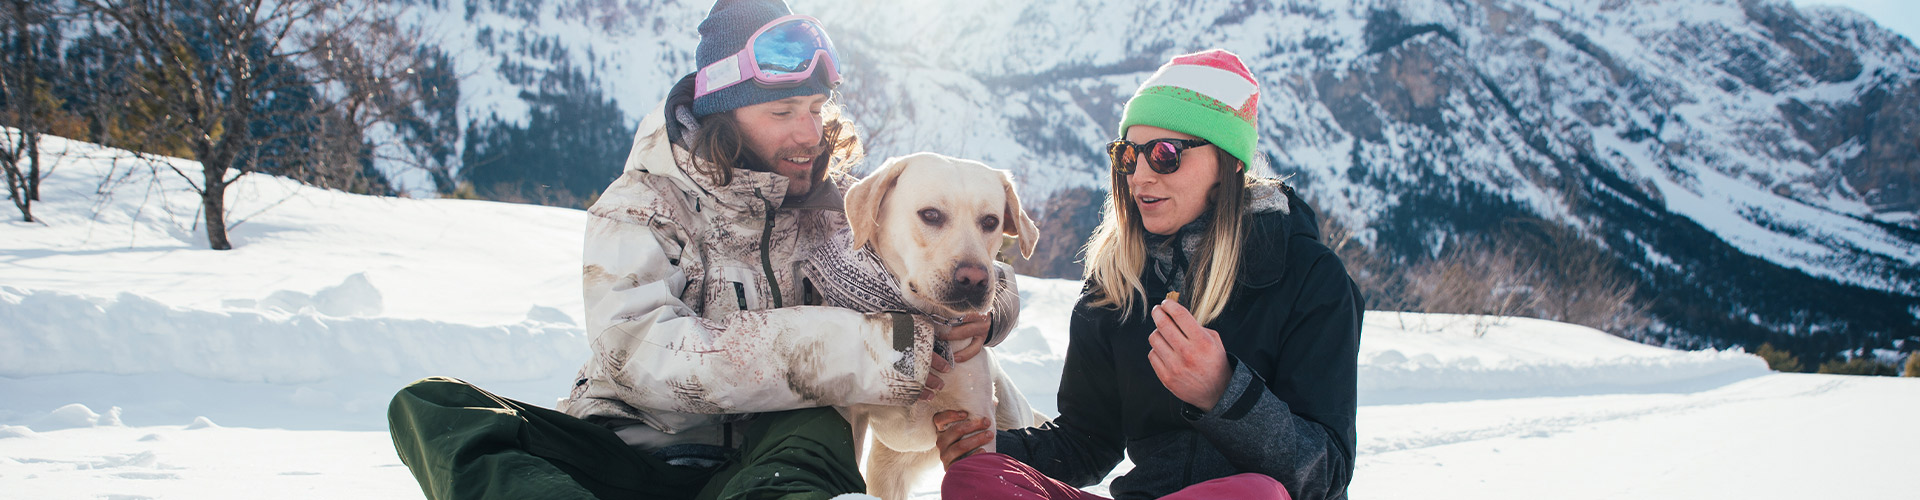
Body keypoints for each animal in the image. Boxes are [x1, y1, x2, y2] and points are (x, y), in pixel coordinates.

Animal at [810, 151, 1052, 500]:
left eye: (990, 222)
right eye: (931, 215)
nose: (974, 279)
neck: (924, 324)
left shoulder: (973, 425)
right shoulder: (848, 415)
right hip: (885, 470)